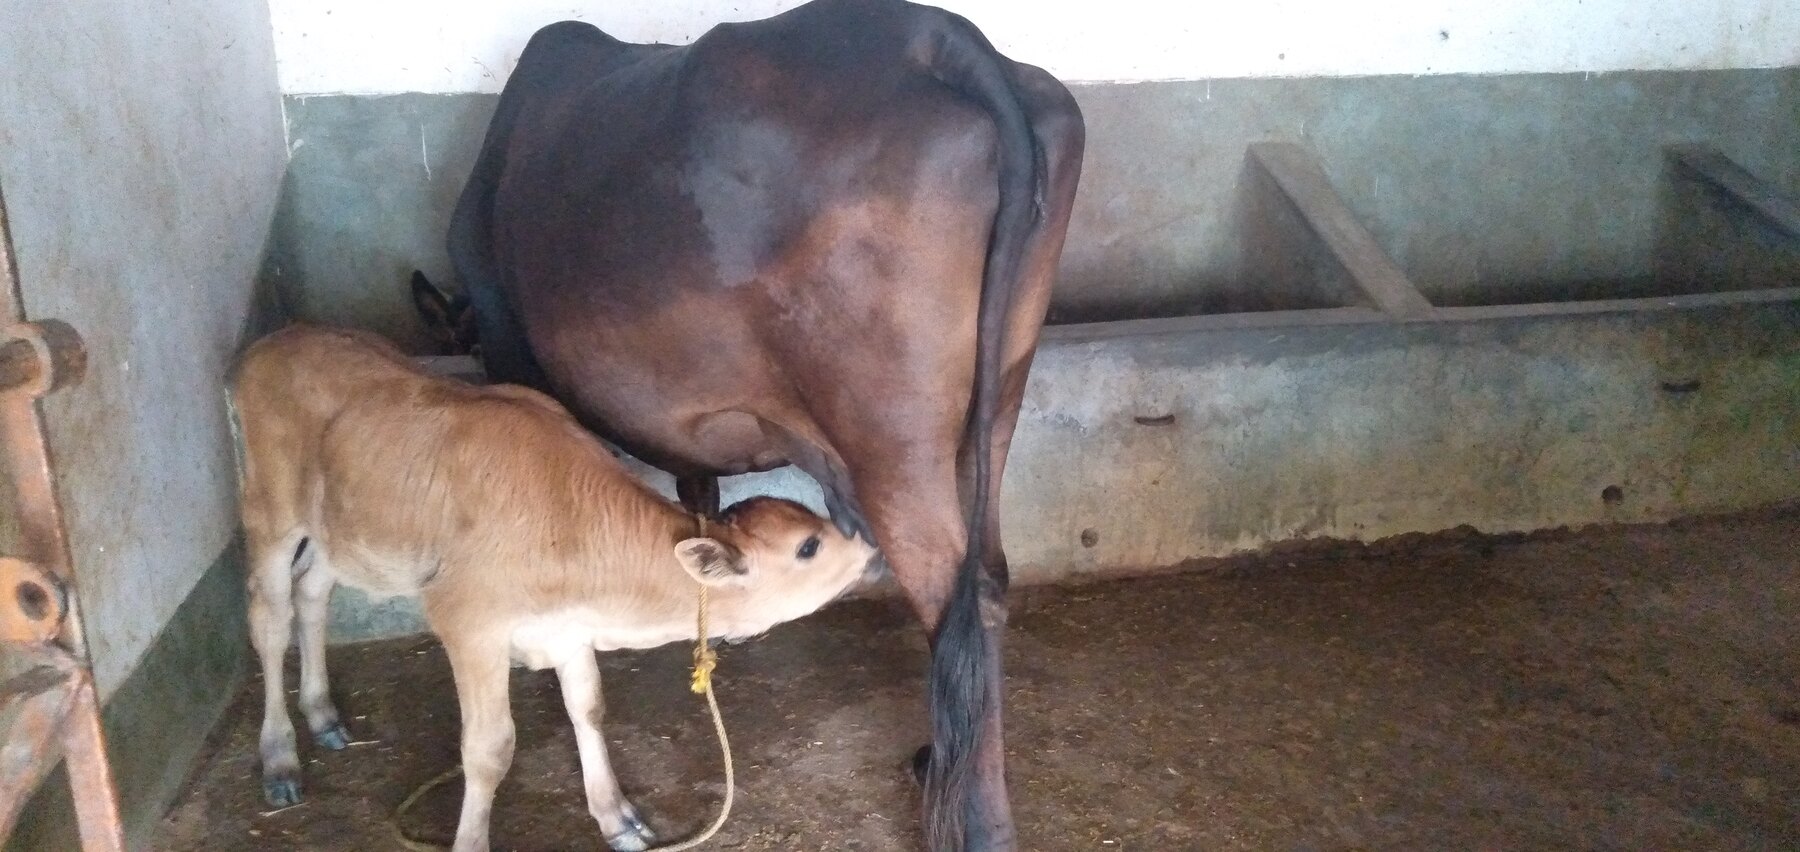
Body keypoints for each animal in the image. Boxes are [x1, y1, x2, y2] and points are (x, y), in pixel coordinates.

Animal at [229, 325, 878, 851]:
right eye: (809, 546)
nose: (871, 548)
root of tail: (275, 340)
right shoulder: (468, 621)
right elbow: (489, 750)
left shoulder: (566, 626)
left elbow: (588, 708)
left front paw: (617, 818)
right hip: (269, 510)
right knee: (269, 616)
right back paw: (280, 759)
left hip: (341, 532)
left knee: (312, 593)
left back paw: (323, 714)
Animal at [448, 1, 1085, 848]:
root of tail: (938, 38)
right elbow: (698, 492)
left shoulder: (514, 353)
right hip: (998, 395)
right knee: (988, 578)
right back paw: (937, 763)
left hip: (891, 435)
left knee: (957, 594)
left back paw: (975, 822)